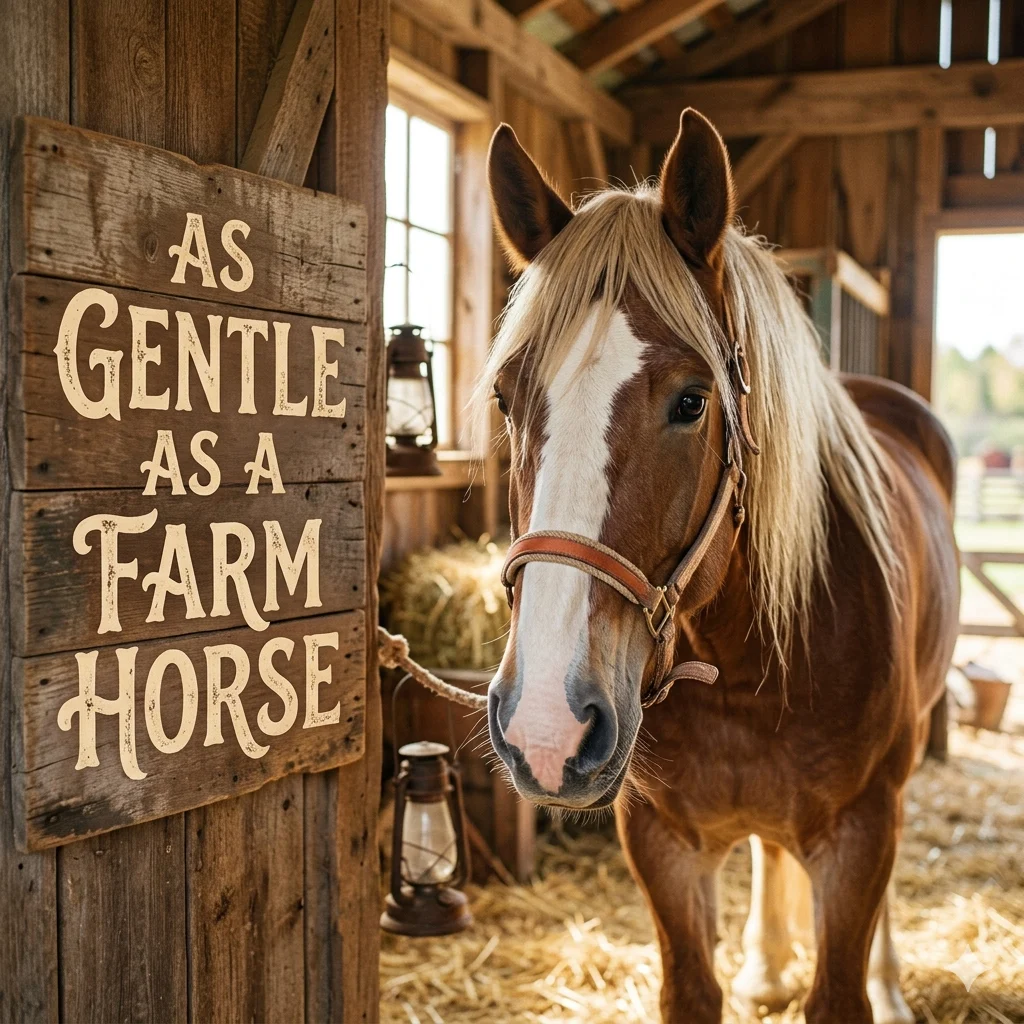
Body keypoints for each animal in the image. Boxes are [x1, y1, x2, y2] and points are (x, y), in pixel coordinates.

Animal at [479, 108, 960, 1023]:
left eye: (691, 401)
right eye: (505, 398)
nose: (545, 727)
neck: (745, 664)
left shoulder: (859, 836)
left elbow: (840, 985)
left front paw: (864, 986)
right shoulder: (662, 844)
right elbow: (693, 989)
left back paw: (888, 986)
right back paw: (766, 963)